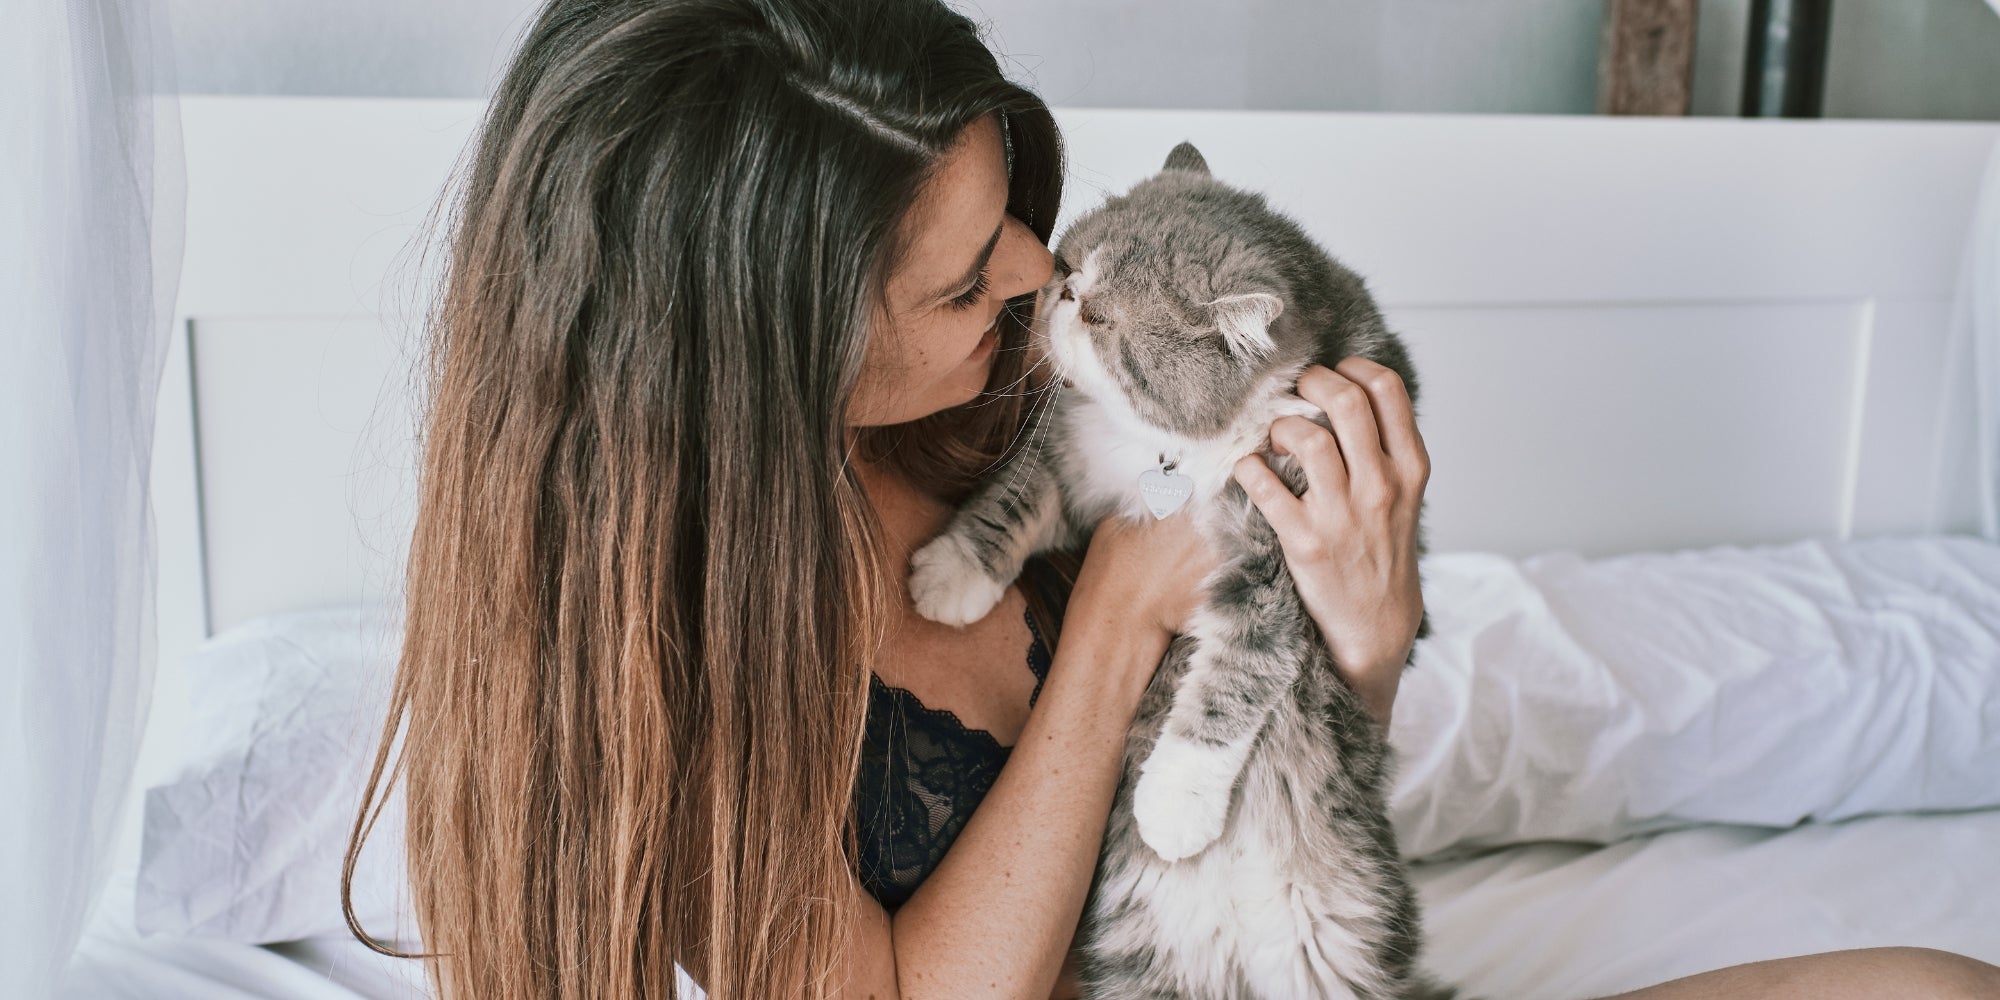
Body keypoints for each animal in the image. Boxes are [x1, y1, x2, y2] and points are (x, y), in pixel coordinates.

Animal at [908, 143, 1456, 1000]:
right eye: (1068, 265)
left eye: (1100, 318)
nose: (1058, 294)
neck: (1174, 453)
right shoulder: (1077, 468)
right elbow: (1014, 500)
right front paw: (951, 576)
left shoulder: (1279, 563)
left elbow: (1232, 684)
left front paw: (1172, 806)